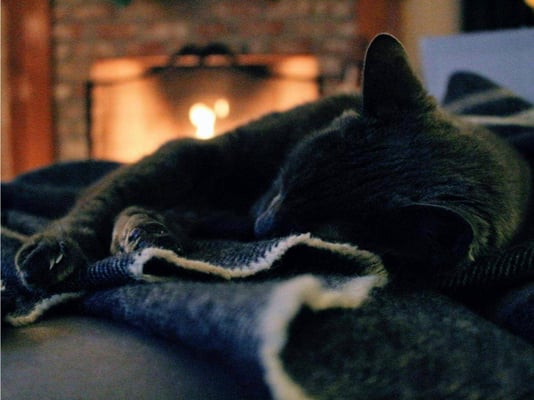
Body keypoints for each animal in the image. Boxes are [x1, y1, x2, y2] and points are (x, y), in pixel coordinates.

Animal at [15, 34, 532, 290]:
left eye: (311, 230)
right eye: (287, 177)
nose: (263, 225)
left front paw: (146, 234)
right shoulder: (192, 153)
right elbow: (101, 203)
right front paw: (53, 251)